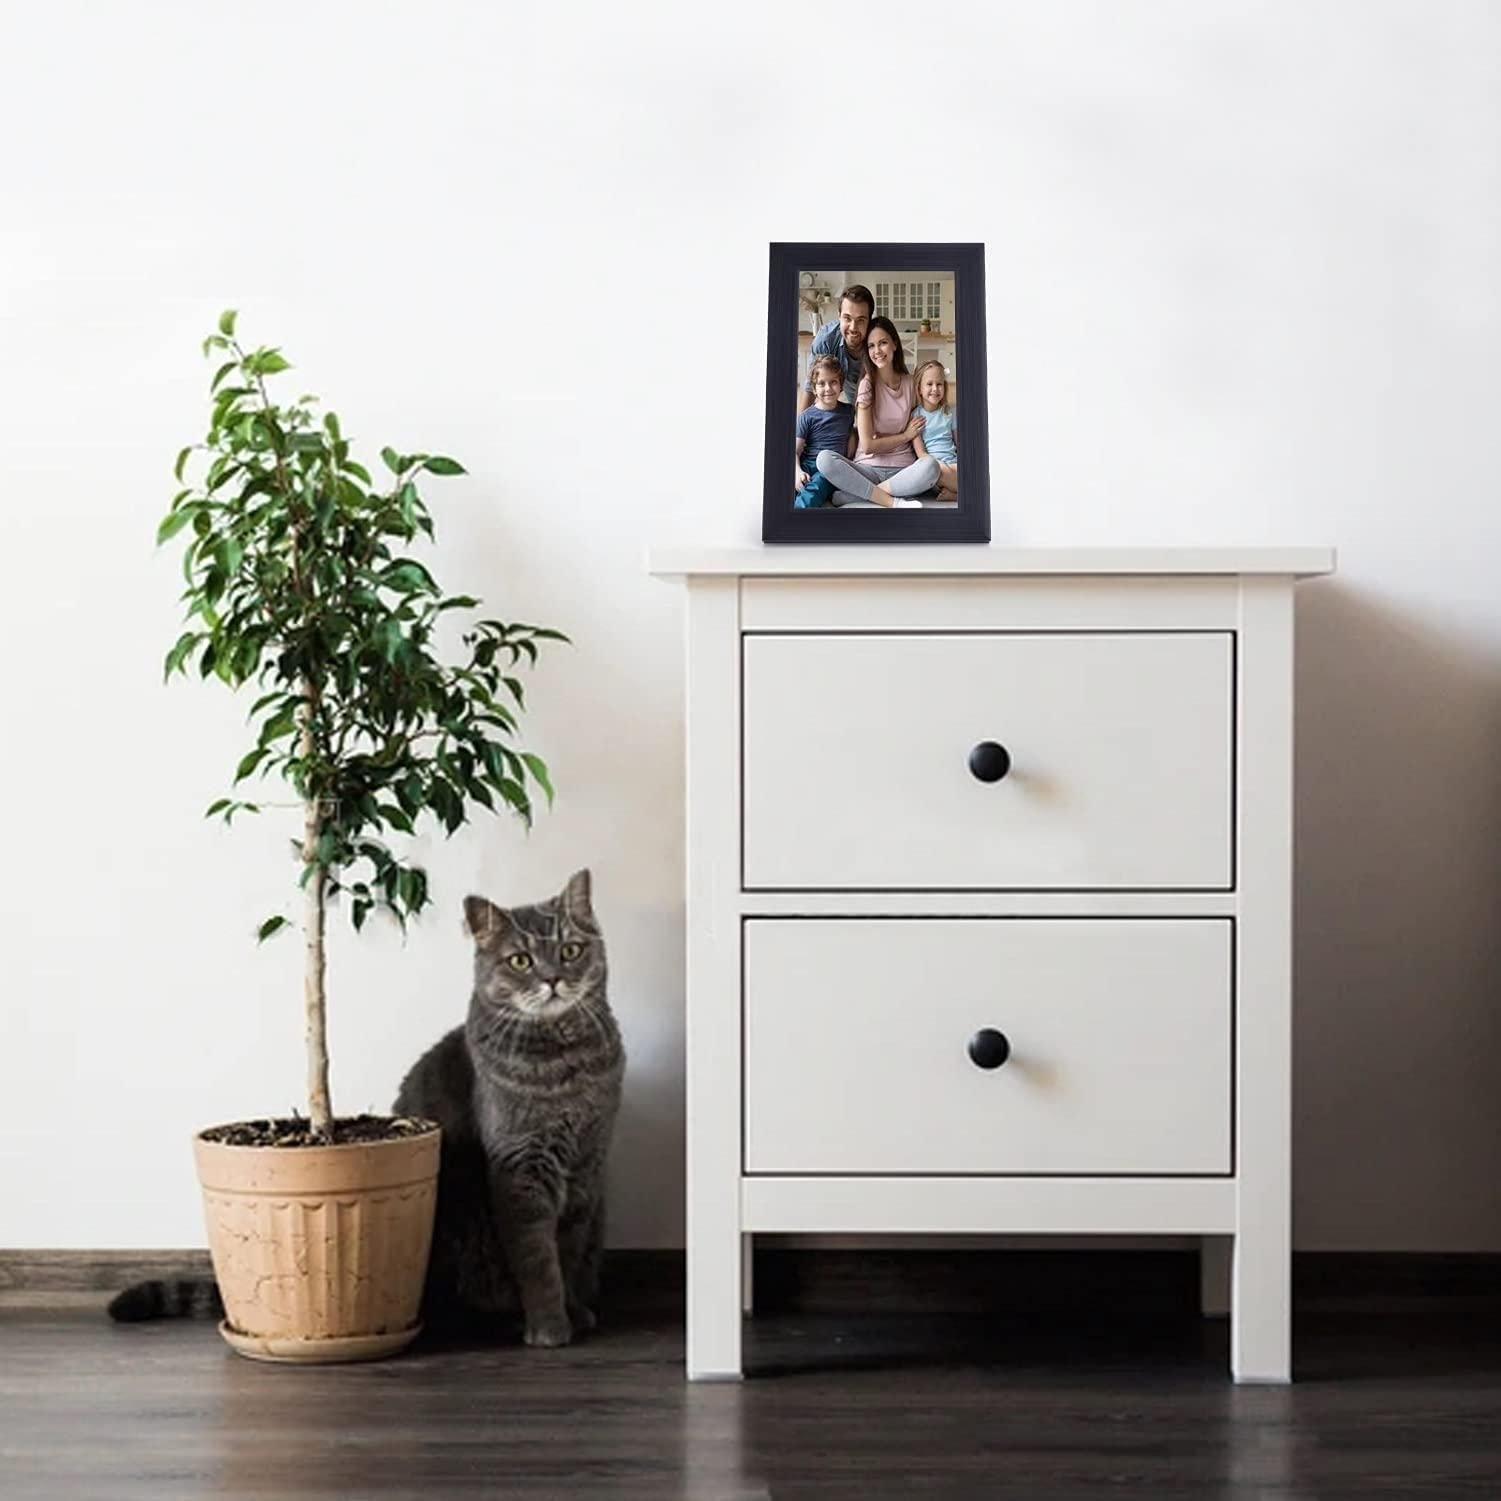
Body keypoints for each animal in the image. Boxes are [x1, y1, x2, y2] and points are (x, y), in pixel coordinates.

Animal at [109, 869, 625, 1348]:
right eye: (520, 960)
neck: (567, 1066)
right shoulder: (521, 1168)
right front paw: (550, 1327)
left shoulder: (586, 1167)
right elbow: (537, 1257)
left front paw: (573, 1312)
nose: (553, 979)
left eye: (570, 951)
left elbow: (568, 1251)